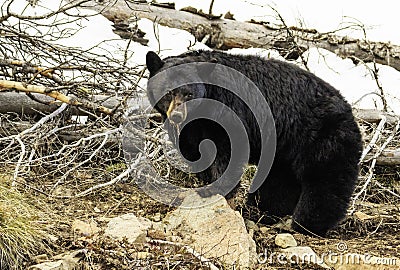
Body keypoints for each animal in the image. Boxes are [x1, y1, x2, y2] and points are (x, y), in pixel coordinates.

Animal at [146, 49, 362, 235]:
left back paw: (306, 224)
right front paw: (205, 185)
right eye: (168, 91)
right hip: (284, 147)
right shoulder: (192, 130)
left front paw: (219, 192)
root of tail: (349, 110)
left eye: (189, 93)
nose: (177, 115)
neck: (202, 111)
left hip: (322, 137)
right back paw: (265, 210)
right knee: (280, 180)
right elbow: (196, 153)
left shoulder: (230, 113)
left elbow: (227, 153)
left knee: (324, 180)